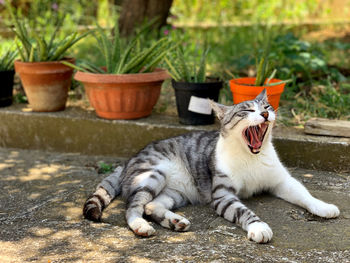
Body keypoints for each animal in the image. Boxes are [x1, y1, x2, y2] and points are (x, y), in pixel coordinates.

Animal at [82, 89, 340, 244]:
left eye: (267, 106)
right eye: (247, 110)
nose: (266, 114)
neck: (251, 157)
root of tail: (128, 160)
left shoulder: (281, 181)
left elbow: (303, 193)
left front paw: (323, 206)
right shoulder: (223, 195)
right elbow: (243, 211)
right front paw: (259, 227)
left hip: (177, 192)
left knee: (152, 205)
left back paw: (174, 221)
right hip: (152, 175)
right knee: (133, 206)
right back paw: (141, 226)